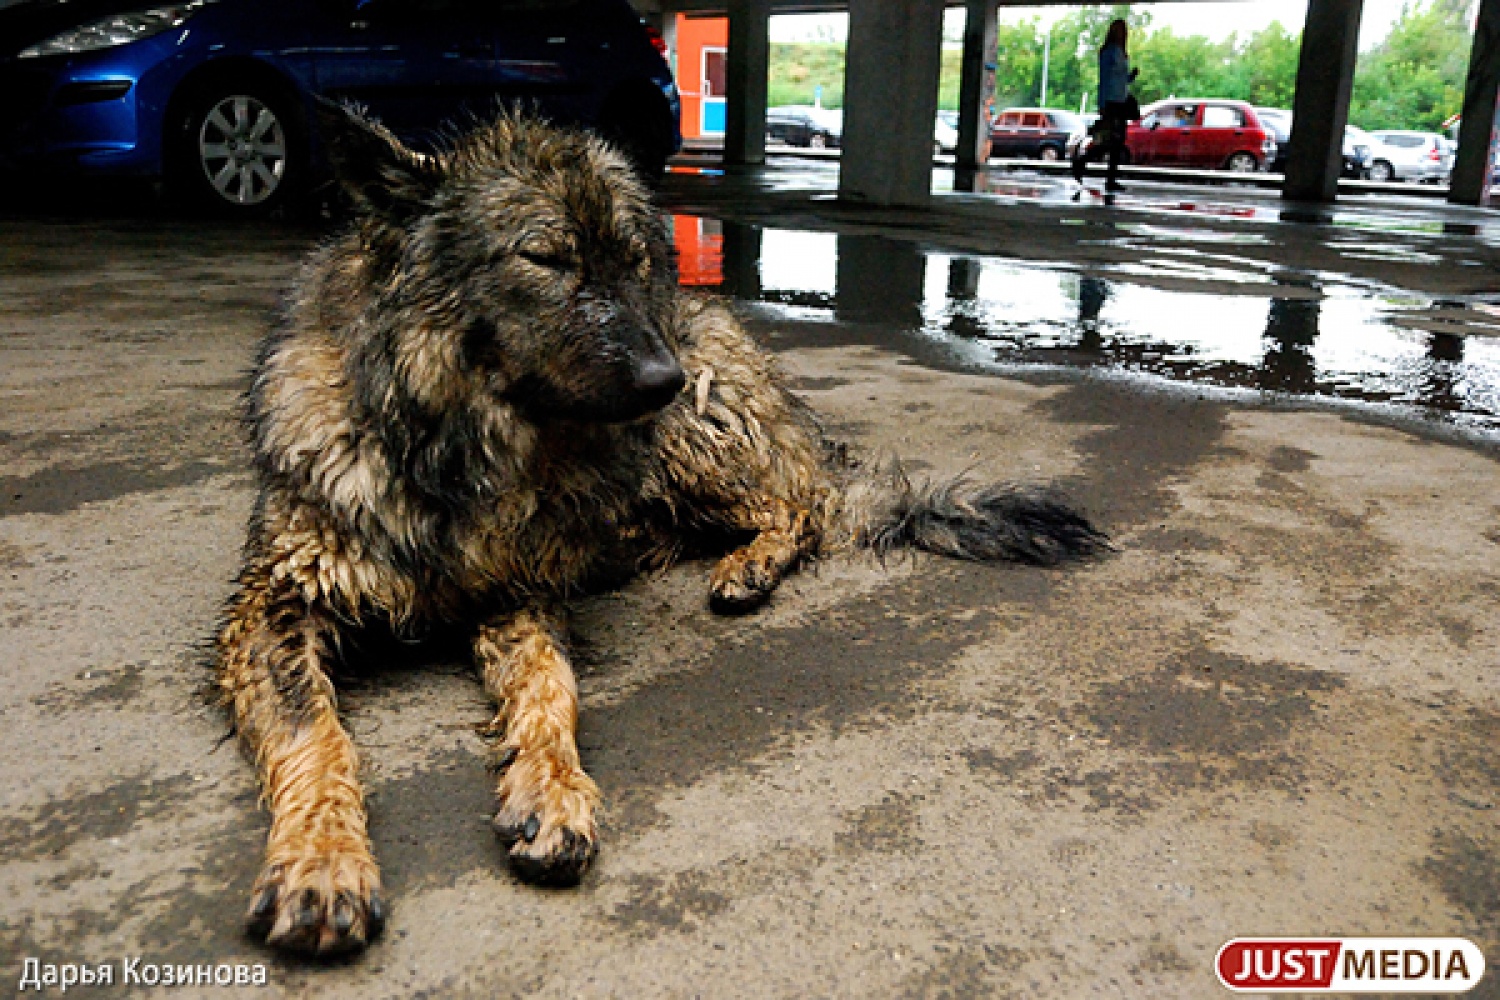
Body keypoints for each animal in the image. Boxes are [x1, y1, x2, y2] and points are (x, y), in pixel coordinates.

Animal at [214, 101, 1104, 953]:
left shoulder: (517, 591)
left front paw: (552, 789)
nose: (662, 377)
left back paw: (748, 565)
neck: (451, 451)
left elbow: (552, 688)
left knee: (800, 509)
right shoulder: (273, 609)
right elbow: (317, 736)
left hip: (691, 439)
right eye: (545, 258)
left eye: (634, 261)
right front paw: (323, 860)